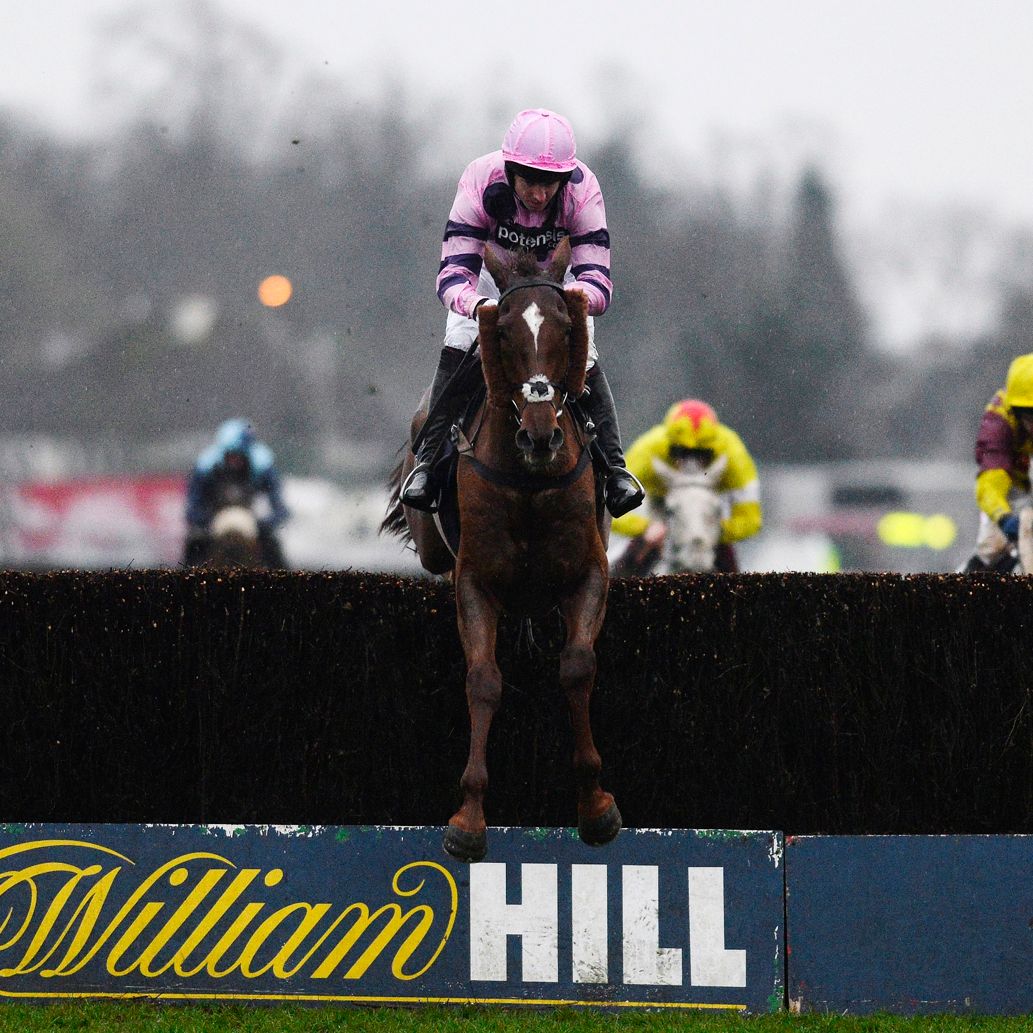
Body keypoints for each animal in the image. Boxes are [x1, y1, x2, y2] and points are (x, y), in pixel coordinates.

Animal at [382, 239, 621, 862]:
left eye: (566, 328)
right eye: (507, 332)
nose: (540, 434)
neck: (530, 481)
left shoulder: (588, 573)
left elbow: (577, 666)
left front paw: (596, 805)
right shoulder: (476, 581)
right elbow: (484, 680)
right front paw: (467, 819)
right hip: (434, 548)